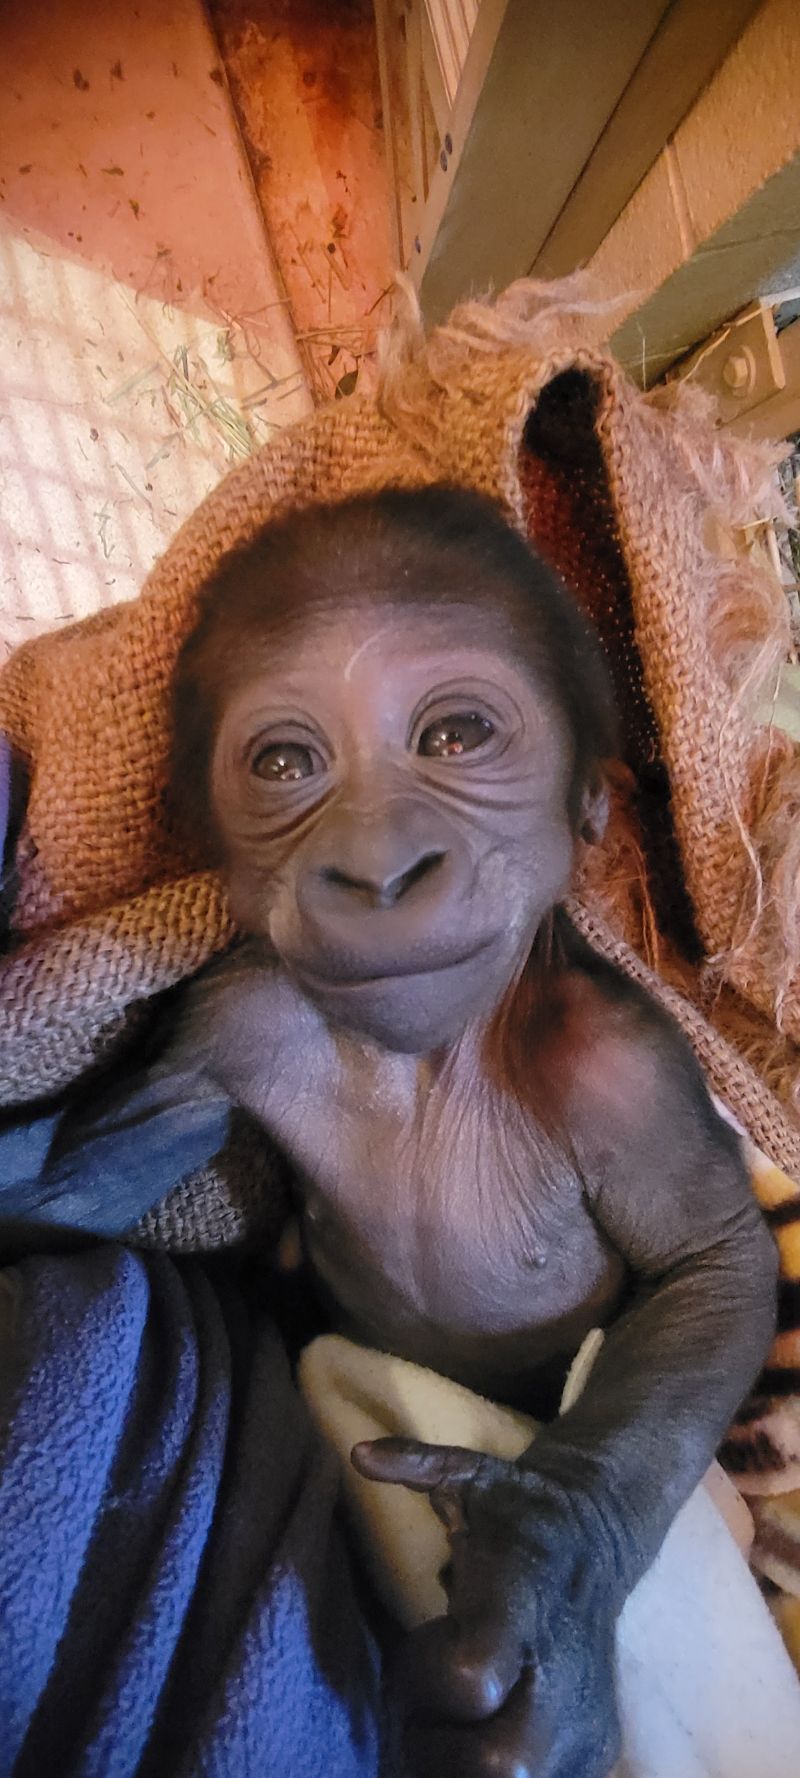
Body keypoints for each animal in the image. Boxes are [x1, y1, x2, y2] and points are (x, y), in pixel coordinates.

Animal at [0, 485, 779, 1777]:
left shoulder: (618, 1064)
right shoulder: (234, 1013)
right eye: (284, 763)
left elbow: (710, 1266)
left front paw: (542, 1575)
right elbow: (109, 1157)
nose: (376, 871)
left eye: (455, 737)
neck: (428, 1060)